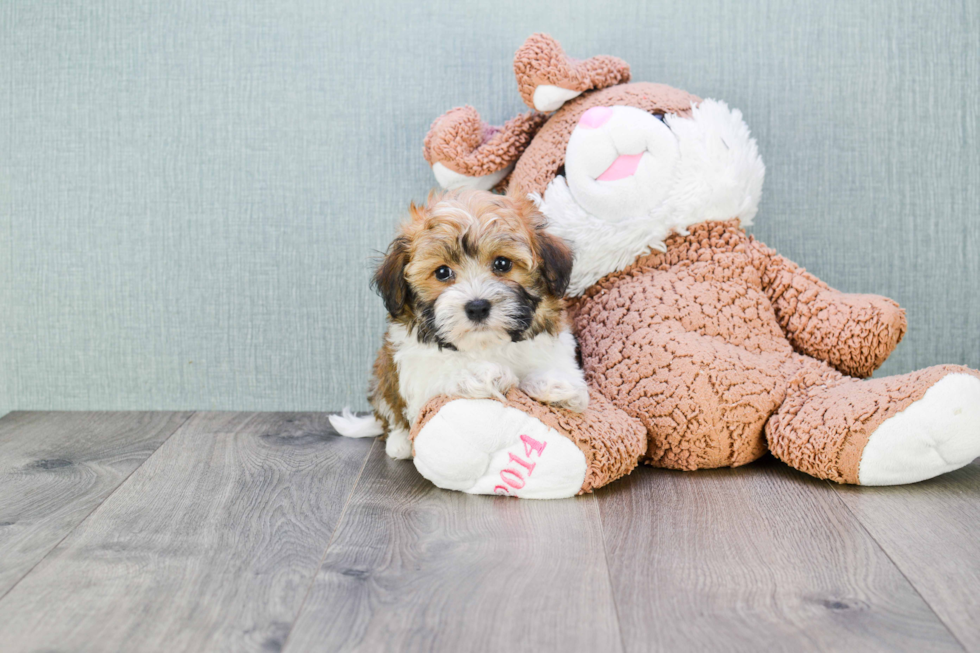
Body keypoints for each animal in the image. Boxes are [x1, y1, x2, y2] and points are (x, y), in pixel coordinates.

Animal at [330, 188, 588, 458]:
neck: (486, 344)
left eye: (502, 263)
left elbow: (554, 364)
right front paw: (485, 374)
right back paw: (398, 442)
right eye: (442, 272)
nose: (477, 307)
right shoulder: (415, 367)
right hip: (383, 373)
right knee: (391, 413)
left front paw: (557, 384)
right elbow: (445, 370)